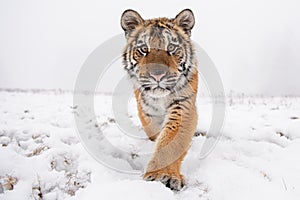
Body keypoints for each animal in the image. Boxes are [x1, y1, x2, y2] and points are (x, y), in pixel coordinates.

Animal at [120, 9, 198, 191]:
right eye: (143, 49)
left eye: (171, 48)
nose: (157, 75)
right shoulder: (146, 111)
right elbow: (158, 134)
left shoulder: (183, 106)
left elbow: (171, 141)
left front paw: (164, 175)